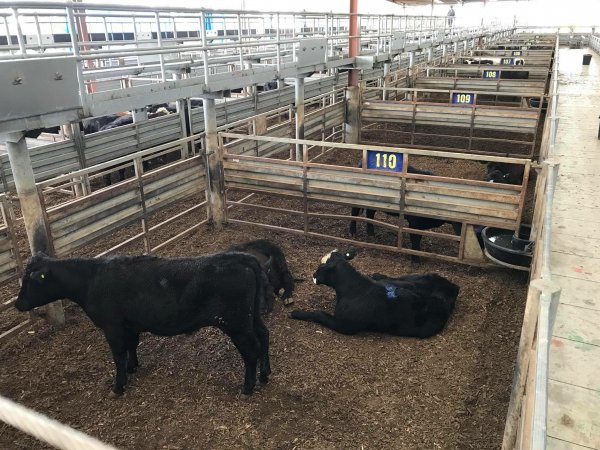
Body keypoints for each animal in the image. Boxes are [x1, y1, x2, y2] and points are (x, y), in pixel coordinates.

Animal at [14, 253, 272, 398]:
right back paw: (265, 374)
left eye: (30, 281)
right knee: (264, 336)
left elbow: (118, 355)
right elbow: (132, 346)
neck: (91, 280)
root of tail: (240, 257)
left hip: (236, 324)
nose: (17, 304)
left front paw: (118, 386)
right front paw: (133, 367)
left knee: (251, 350)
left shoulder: (113, 327)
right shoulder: (129, 325)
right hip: (251, 318)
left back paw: (247, 388)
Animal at [292, 250, 460, 338]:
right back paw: (377, 275)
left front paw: (297, 313)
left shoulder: (344, 325)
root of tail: (452, 287)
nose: (313, 275)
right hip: (410, 278)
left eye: (321, 267)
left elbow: (319, 314)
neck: (354, 289)